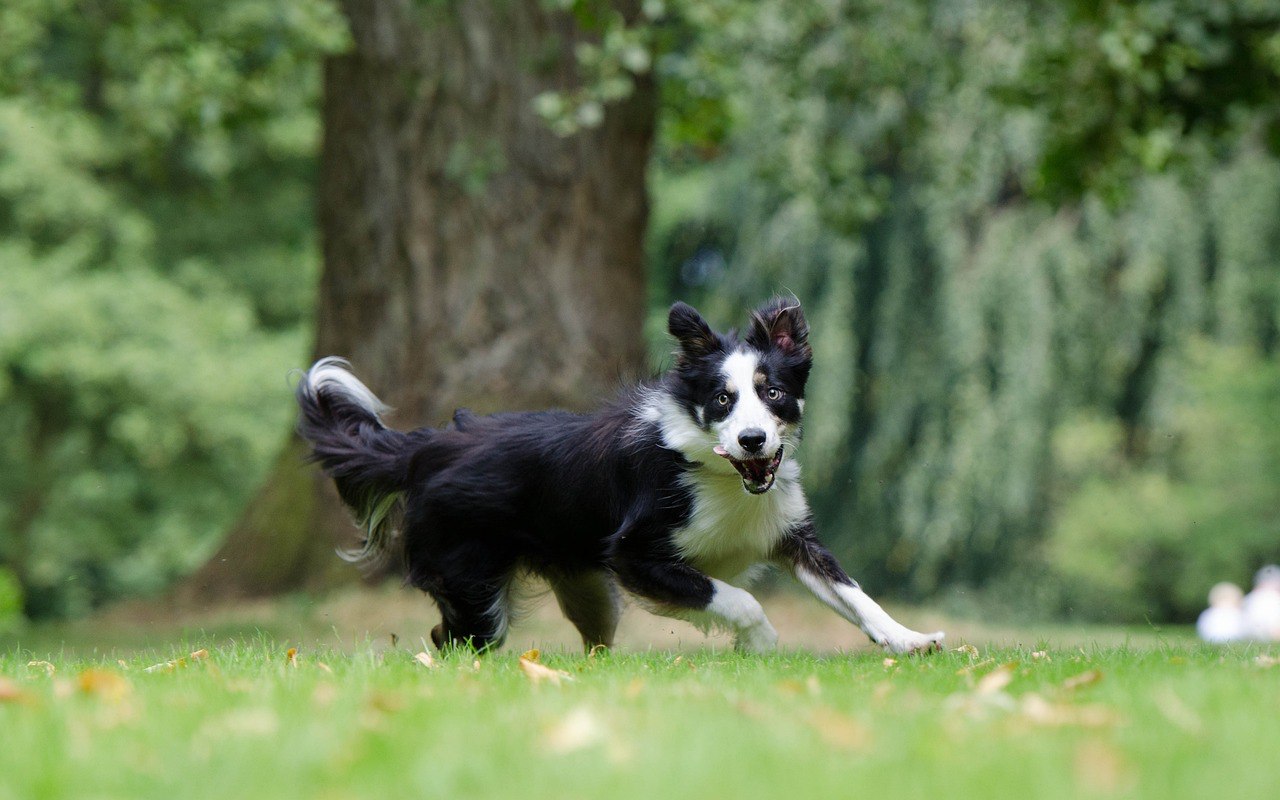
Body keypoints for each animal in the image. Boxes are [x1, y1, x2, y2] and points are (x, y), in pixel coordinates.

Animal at [294, 296, 947, 652]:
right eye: (722, 400)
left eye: (774, 394)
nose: (753, 440)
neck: (719, 474)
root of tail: (427, 448)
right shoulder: (635, 554)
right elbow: (735, 597)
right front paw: (760, 642)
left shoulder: (790, 534)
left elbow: (855, 595)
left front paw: (912, 640)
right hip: (473, 583)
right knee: (450, 639)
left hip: (586, 590)